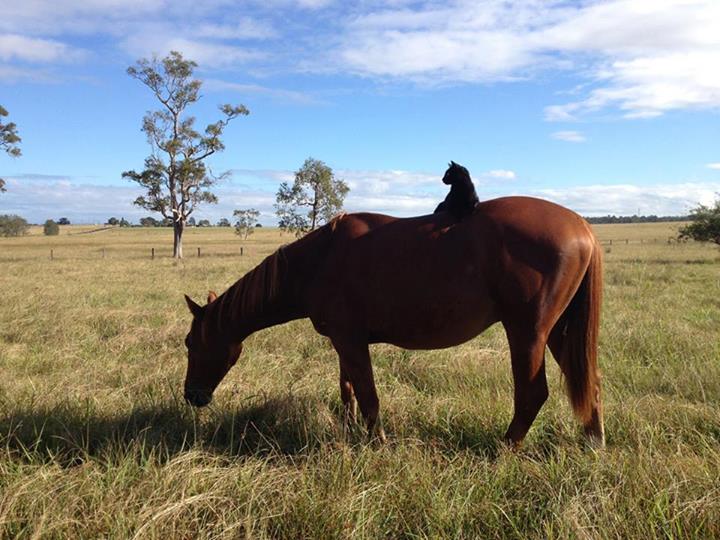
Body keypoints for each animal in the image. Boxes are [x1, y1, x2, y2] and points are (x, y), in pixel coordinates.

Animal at [183, 197, 604, 448]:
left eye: (190, 344)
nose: (192, 396)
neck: (319, 261)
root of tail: (582, 226)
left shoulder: (351, 341)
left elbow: (368, 395)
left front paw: (377, 444)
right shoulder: (344, 342)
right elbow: (348, 390)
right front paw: (350, 430)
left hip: (527, 333)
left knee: (532, 394)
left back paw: (504, 449)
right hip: (558, 333)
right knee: (589, 382)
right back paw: (593, 441)